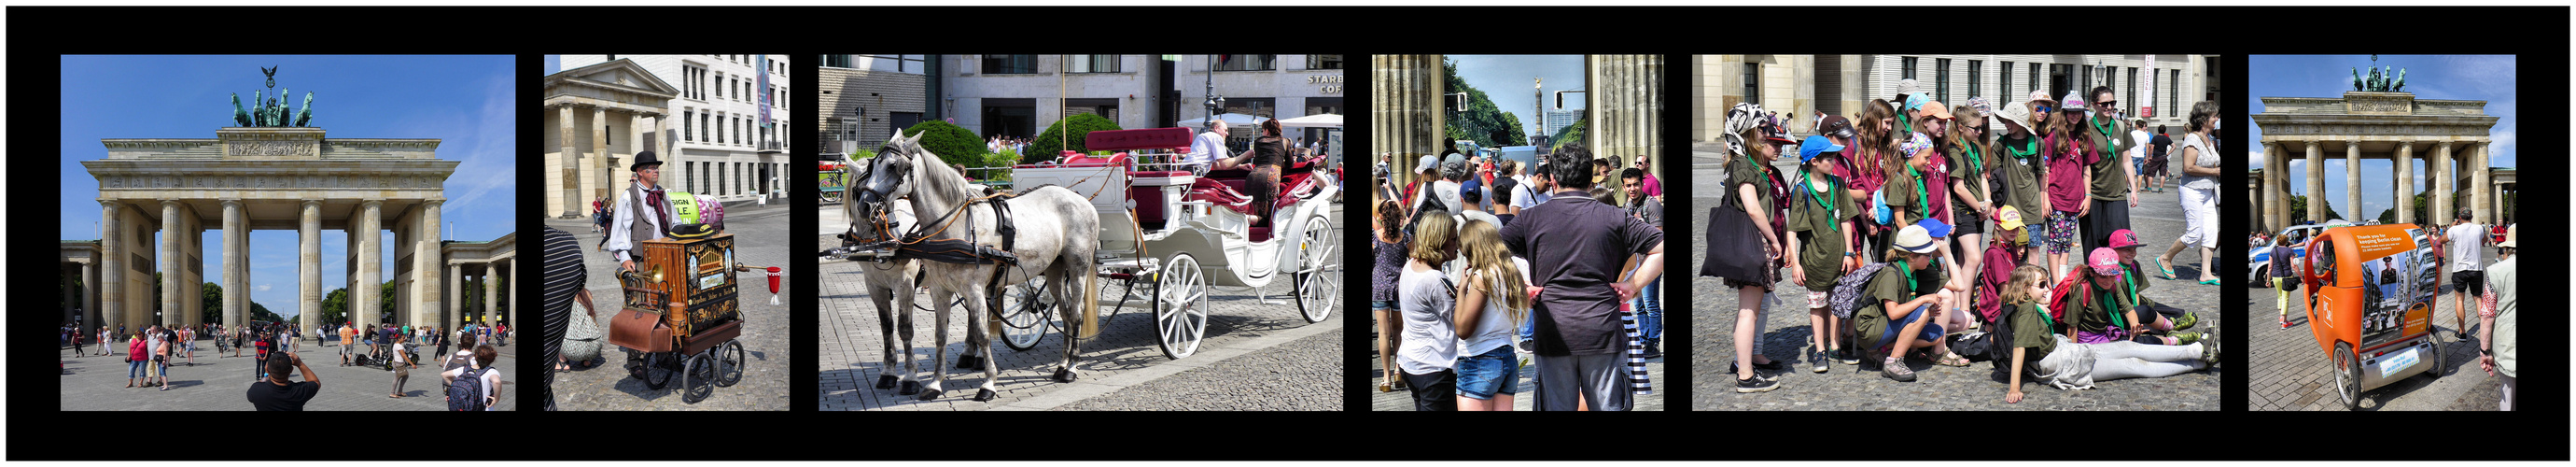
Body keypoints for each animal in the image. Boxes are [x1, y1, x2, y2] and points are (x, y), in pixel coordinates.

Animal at [860, 132, 1102, 402]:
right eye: (873, 165)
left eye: (893, 166)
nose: (864, 205)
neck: (952, 225)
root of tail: (1080, 198)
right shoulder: (939, 290)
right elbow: (940, 335)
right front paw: (935, 382)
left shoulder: (974, 289)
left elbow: (983, 334)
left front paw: (988, 383)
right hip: (1054, 270)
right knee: (1066, 311)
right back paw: (1062, 364)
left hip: (1078, 266)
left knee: (1077, 312)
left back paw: (1072, 366)